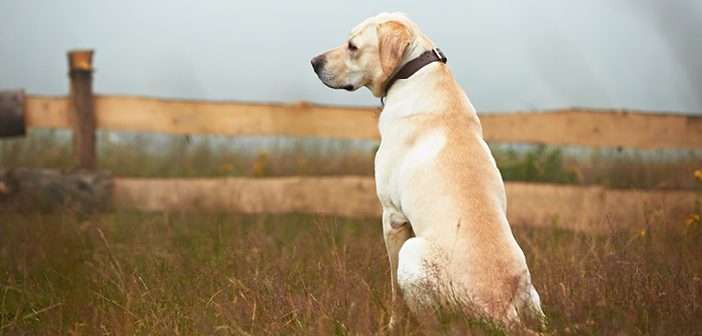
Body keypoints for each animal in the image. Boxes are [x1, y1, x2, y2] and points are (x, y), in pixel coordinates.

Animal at [312, 12, 544, 330]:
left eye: (353, 46)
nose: (313, 61)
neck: (413, 73)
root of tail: (503, 311)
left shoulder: (393, 217)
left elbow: (395, 291)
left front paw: (393, 326)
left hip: (413, 253)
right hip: (533, 294)